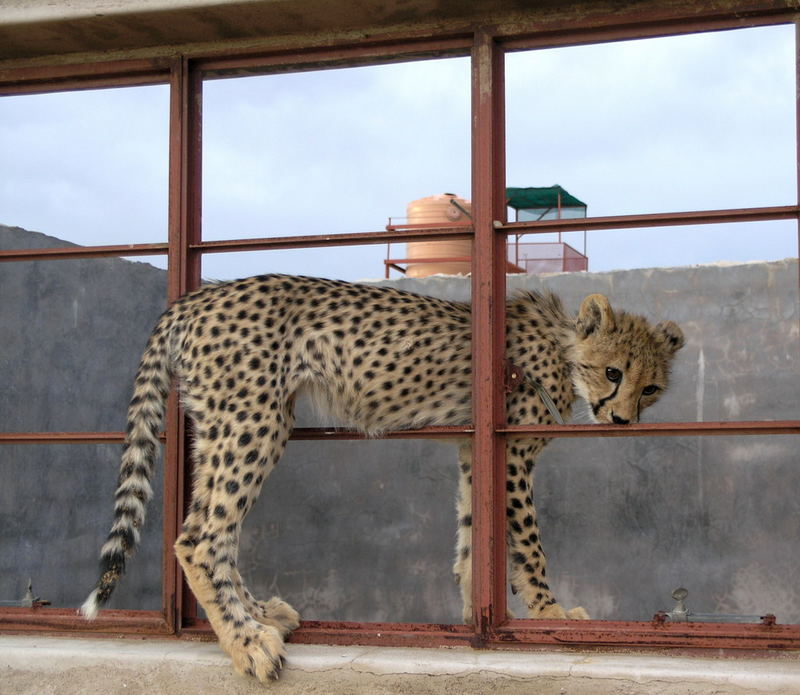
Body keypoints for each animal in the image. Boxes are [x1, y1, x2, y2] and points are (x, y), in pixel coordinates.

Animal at [79, 274, 680, 684]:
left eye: (651, 387)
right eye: (613, 372)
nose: (623, 421)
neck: (563, 348)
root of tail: (193, 298)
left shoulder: (473, 451)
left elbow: (471, 544)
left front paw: (473, 624)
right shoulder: (510, 457)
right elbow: (528, 549)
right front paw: (549, 613)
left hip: (219, 426)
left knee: (208, 526)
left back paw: (259, 614)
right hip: (256, 422)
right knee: (200, 537)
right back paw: (248, 642)